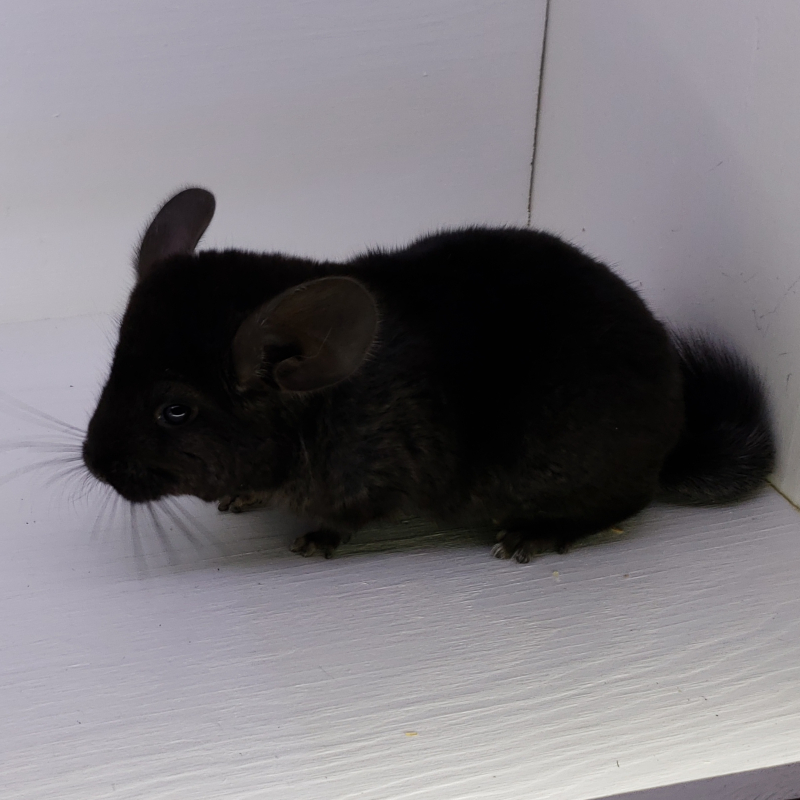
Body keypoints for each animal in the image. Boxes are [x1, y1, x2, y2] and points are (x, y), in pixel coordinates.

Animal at [82, 188, 775, 562]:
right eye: (111, 369)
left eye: (175, 411)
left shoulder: (373, 485)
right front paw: (241, 497)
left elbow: (342, 522)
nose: (91, 462)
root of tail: (673, 440)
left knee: (623, 504)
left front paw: (312, 543)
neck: (327, 404)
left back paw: (529, 536)